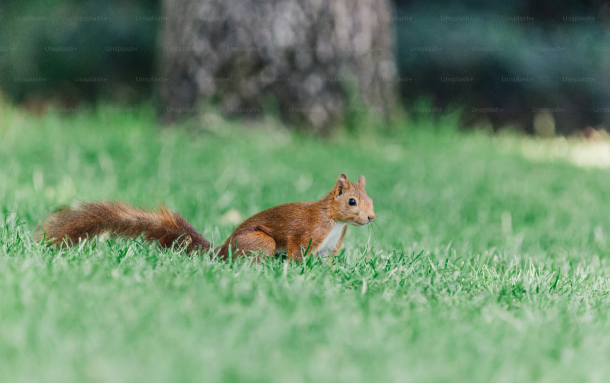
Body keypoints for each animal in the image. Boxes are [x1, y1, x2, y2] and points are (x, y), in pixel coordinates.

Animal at [38, 173, 372, 260]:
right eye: (352, 201)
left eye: (371, 200)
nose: (371, 218)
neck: (334, 220)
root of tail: (221, 251)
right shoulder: (306, 233)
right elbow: (296, 252)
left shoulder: (329, 245)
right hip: (260, 242)